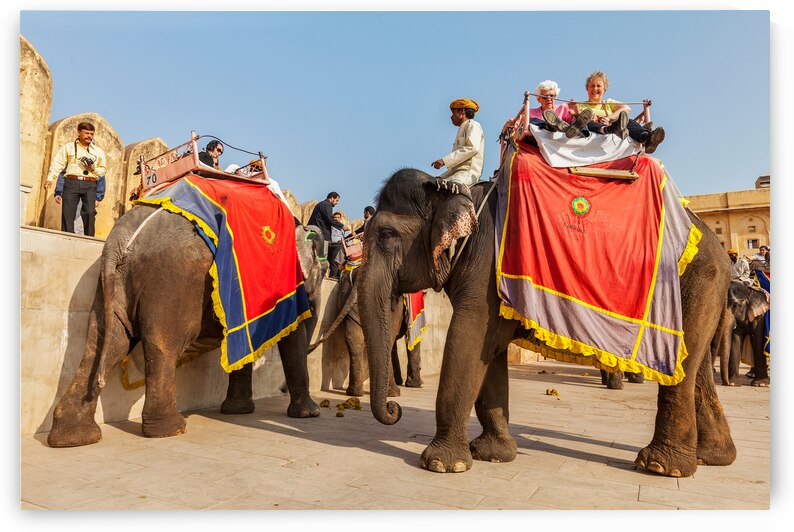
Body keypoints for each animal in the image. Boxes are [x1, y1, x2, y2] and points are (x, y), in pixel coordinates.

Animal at [47, 205, 326, 448]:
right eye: (322, 272)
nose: (280, 389)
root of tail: (120, 238)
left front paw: (237, 411)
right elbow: (293, 336)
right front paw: (309, 414)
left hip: (114, 283)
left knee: (106, 340)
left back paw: (73, 439)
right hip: (173, 280)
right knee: (162, 346)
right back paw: (171, 430)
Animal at [358, 168, 736, 477]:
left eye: (387, 235)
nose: (394, 408)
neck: (455, 192)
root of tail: (717, 245)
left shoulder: (485, 268)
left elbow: (468, 339)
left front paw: (441, 464)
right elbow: (489, 351)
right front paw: (493, 454)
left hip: (696, 279)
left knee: (682, 374)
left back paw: (660, 466)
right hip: (704, 287)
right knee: (696, 367)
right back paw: (712, 458)